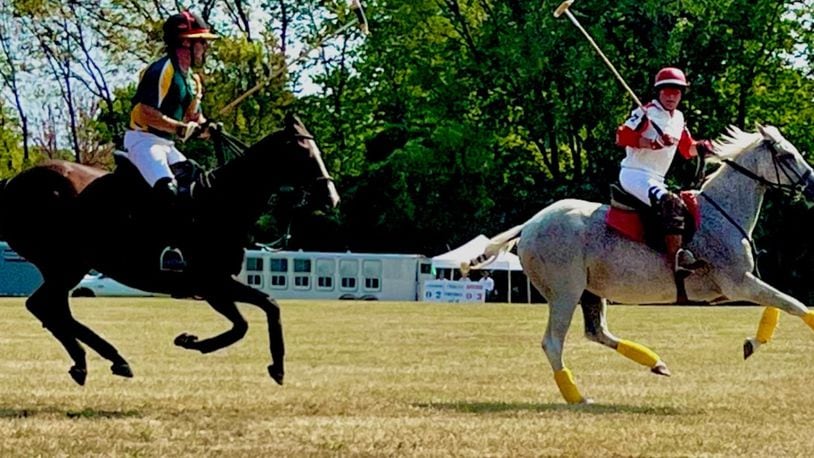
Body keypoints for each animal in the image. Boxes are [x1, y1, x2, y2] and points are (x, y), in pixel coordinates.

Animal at [0, 112, 342, 384]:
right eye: (304, 152)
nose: (332, 197)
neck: (222, 202)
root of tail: (12, 183)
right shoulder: (211, 282)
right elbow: (253, 317)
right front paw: (194, 342)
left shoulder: (214, 286)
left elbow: (258, 313)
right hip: (65, 263)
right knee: (45, 306)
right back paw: (104, 359)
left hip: (65, 266)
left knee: (49, 309)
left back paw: (97, 361)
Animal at [466, 125, 814, 404]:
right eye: (786, 155)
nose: (811, 185)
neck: (723, 212)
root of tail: (529, 225)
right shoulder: (737, 282)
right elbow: (793, 303)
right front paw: (754, 343)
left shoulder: (742, 282)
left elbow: (780, 304)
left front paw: (751, 344)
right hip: (565, 291)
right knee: (553, 342)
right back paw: (577, 396)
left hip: (591, 291)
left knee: (597, 332)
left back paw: (656, 363)